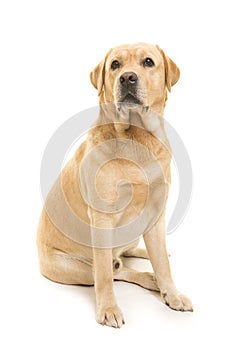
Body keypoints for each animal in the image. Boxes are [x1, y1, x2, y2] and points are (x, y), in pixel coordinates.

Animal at [36, 42, 193, 326]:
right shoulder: (102, 219)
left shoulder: (156, 214)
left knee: (127, 258)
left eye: (148, 62)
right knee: (112, 270)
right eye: (115, 65)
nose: (127, 77)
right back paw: (145, 277)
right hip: (73, 267)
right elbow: (104, 276)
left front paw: (172, 294)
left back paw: (148, 265)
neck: (137, 137)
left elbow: (163, 263)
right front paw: (108, 308)